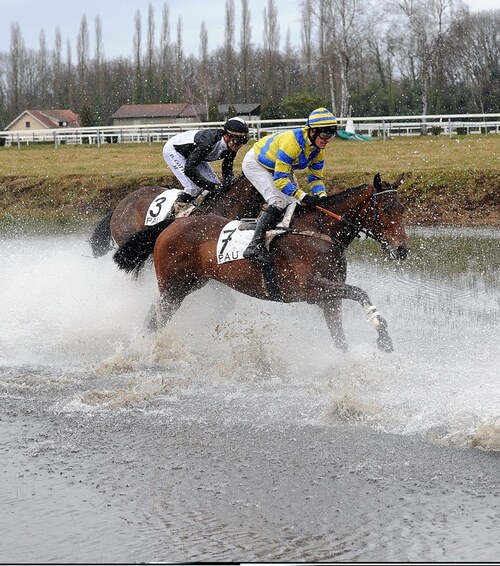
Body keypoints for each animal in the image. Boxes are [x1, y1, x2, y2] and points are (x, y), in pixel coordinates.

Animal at [146, 172, 408, 356]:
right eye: (386, 209)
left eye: (403, 209)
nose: (402, 250)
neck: (319, 232)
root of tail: (172, 224)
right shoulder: (312, 288)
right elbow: (359, 292)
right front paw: (383, 334)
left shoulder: (328, 299)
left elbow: (340, 338)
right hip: (174, 288)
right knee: (156, 319)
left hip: (189, 285)